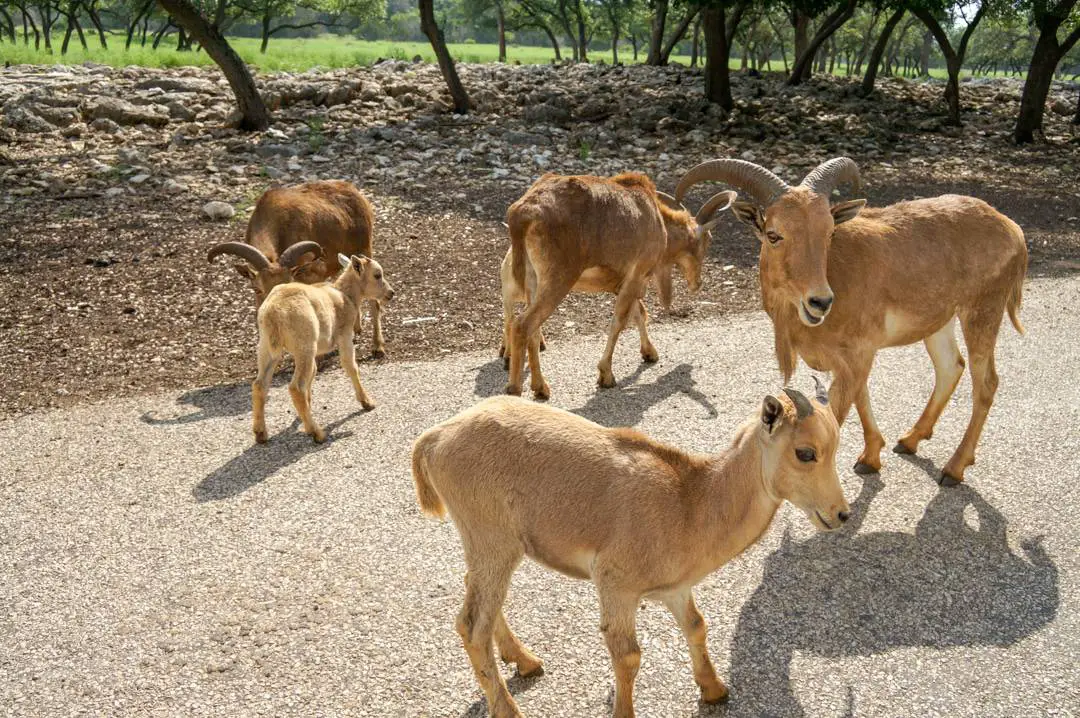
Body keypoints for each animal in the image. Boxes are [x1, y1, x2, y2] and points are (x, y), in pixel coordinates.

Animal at [204, 180, 386, 356]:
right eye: (257, 289)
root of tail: (356, 193)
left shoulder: (312, 275)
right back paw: (355, 328)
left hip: (364, 249)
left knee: (374, 300)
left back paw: (377, 347)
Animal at [252, 251, 397, 442]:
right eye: (377, 275)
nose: (391, 293)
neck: (346, 296)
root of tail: (273, 314)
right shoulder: (344, 335)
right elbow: (350, 366)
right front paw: (367, 402)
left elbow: (313, 373)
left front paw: (306, 409)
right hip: (303, 345)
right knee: (295, 387)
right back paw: (317, 433)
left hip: (267, 346)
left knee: (259, 384)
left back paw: (260, 433)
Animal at [408, 380, 846, 716]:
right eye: (805, 452)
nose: (840, 514)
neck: (689, 505)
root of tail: (434, 438)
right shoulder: (615, 583)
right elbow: (628, 655)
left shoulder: (675, 588)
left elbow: (696, 625)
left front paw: (715, 690)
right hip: (492, 538)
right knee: (472, 625)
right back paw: (509, 707)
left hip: (489, 543)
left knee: (478, 595)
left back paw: (526, 661)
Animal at [501, 171, 738, 399]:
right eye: (708, 241)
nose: (697, 283)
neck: (657, 221)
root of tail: (523, 213)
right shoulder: (636, 276)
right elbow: (620, 321)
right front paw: (606, 375)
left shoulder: (625, 282)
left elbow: (638, 312)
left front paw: (649, 353)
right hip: (558, 278)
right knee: (523, 324)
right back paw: (516, 388)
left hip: (533, 279)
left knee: (533, 329)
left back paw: (540, 387)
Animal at [678, 154, 1023, 483]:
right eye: (773, 235)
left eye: (829, 232)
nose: (820, 302)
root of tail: (1012, 230)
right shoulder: (852, 359)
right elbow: (861, 396)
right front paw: (871, 458)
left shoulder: (857, 353)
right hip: (940, 320)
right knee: (951, 366)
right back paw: (910, 440)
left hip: (982, 312)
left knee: (986, 383)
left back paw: (954, 468)